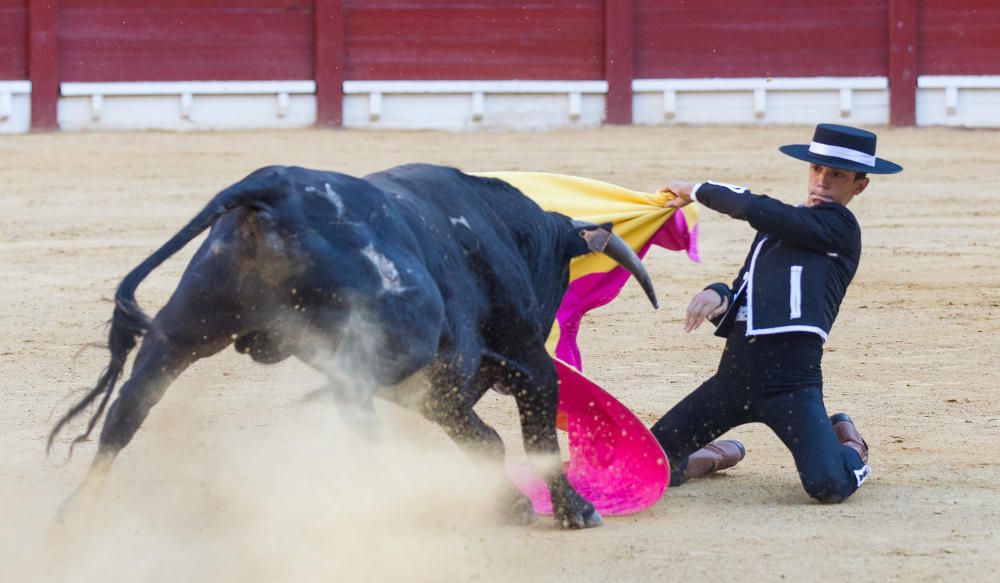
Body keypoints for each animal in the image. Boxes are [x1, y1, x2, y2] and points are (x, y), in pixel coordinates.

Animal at [48, 163, 656, 528]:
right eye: (562, 275)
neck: (507, 233)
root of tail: (273, 186)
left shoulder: (442, 391)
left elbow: (482, 439)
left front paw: (509, 504)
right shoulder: (522, 364)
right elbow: (533, 437)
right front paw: (575, 510)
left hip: (185, 325)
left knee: (128, 409)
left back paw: (74, 516)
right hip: (398, 332)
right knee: (351, 400)